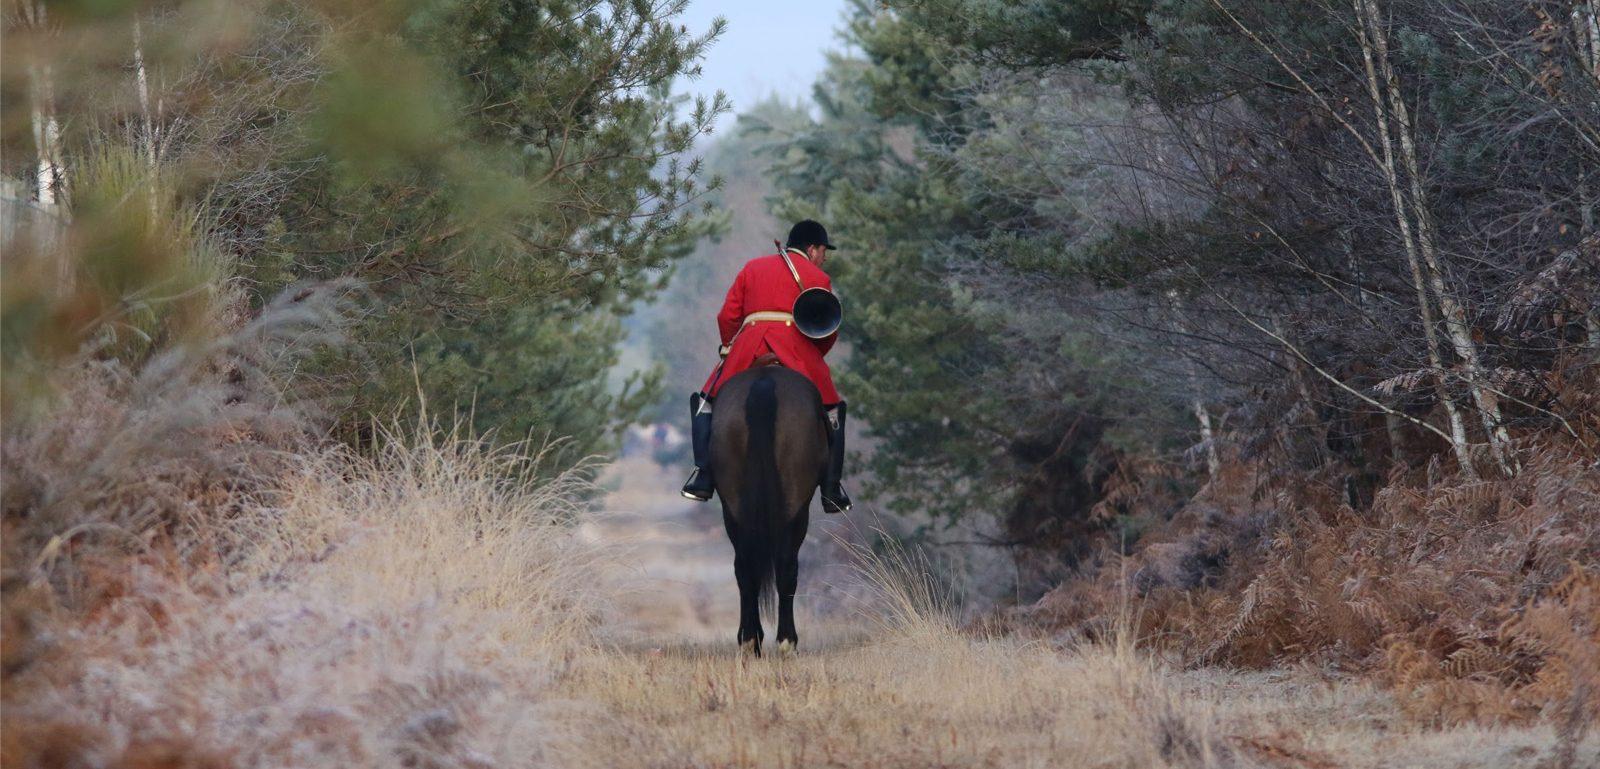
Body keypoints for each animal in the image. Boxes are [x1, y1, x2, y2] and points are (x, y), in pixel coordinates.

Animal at [716, 364, 832, 652]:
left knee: (745, 567)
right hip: (796, 508)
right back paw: (786, 642)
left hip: (732, 507)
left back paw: (749, 640)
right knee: (786, 567)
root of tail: (764, 384)